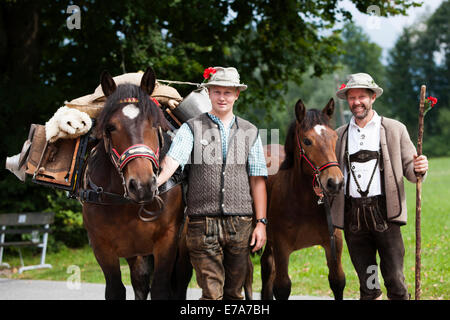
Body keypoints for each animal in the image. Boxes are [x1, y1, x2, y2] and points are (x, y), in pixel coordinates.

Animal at [258, 97, 346, 300]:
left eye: (334, 138)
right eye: (307, 141)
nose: (335, 182)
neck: (304, 203)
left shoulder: (334, 243)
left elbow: (337, 281)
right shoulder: (282, 247)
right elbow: (282, 287)